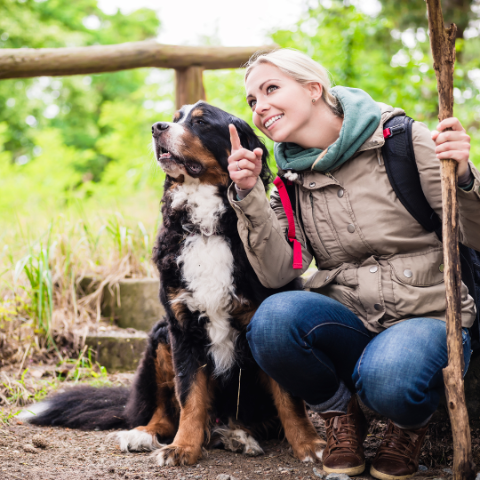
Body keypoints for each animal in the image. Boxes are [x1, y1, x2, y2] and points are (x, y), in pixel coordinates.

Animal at [19, 101, 326, 464]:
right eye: (176, 118)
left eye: (201, 122)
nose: (157, 127)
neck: (206, 228)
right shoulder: (182, 327)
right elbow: (190, 396)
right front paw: (183, 448)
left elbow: (289, 400)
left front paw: (310, 445)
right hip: (160, 337)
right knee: (165, 413)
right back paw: (143, 434)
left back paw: (238, 435)